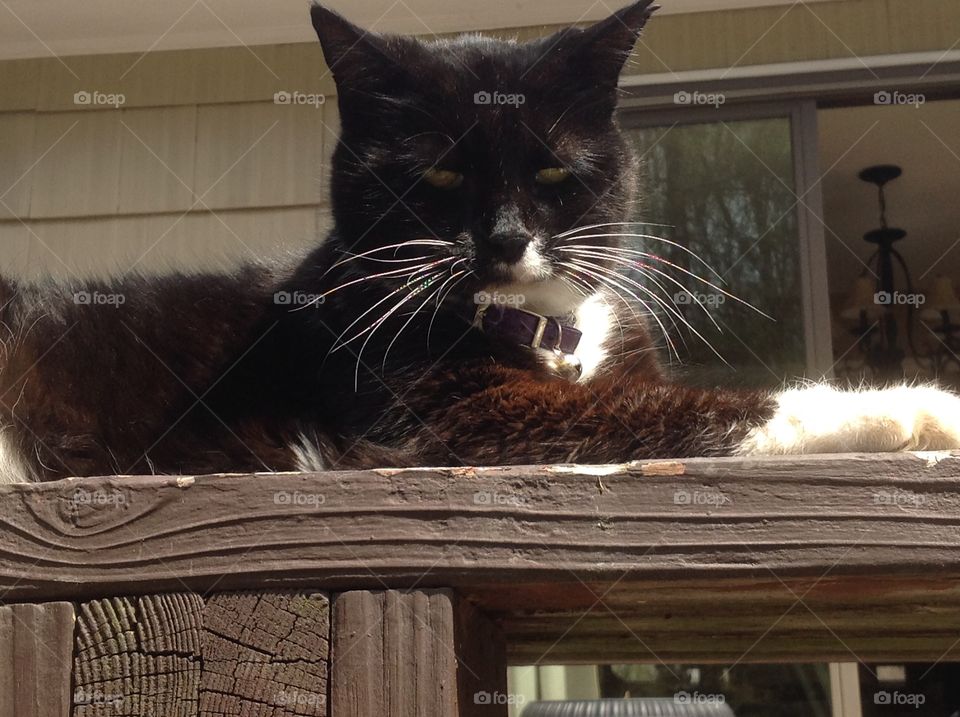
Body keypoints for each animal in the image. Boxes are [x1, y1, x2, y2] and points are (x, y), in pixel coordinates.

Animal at [0, 0, 956, 484]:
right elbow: (688, 408)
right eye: (442, 175)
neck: (553, 333)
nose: (503, 239)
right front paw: (915, 404)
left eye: (554, 171)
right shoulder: (459, 420)